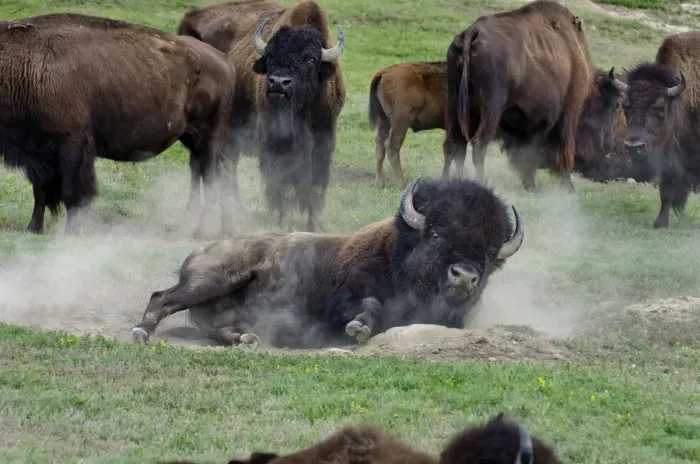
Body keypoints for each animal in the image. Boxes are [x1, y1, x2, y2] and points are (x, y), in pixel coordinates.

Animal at [0, 14, 236, 238]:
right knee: (215, 174)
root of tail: (224, 60)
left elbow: (71, 192)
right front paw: (33, 229)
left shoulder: (72, 144)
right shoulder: (36, 150)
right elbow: (39, 191)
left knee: (213, 178)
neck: (27, 63)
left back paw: (201, 231)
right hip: (193, 139)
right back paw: (222, 229)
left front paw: (71, 233)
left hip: (208, 137)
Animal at [130, 177, 524, 349]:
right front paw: (359, 328)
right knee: (162, 298)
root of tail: (201, 249)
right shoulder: (346, 295)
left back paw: (247, 338)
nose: (464, 276)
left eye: (490, 252)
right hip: (212, 279)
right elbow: (368, 305)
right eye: (437, 233)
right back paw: (140, 333)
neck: (398, 251)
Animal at [177, 0, 346, 233]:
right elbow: (286, 184)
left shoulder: (324, 139)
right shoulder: (280, 145)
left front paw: (317, 227)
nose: (278, 83)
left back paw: (239, 211)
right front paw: (285, 225)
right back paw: (192, 214)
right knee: (199, 168)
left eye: (311, 59)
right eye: (270, 55)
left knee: (225, 168)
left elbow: (317, 185)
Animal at [445, 0, 595, 192]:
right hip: (491, 107)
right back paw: (483, 183)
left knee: (453, 143)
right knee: (479, 143)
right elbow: (555, 150)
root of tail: (471, 33)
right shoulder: (567, 114)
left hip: (454, 101)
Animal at [610, 31, 700, 228]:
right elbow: (667, 190)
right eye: (625, 106)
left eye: (659, 107)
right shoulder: (670, 156)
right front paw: (660, 224)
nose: (634, 147)